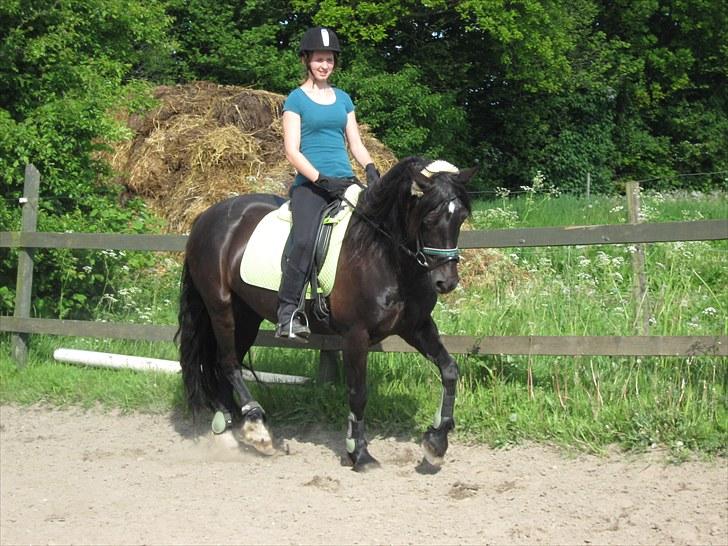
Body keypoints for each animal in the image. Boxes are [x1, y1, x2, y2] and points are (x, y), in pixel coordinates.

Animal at [175, 156, 472, 468]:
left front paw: (436, 442)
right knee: (228, 363)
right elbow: (358, 392)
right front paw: (359, 453)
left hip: (246, 315)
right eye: (428, 219)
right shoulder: (356, 335)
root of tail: (206, 218)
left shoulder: (416, 326)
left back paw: (234, 432)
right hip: (221, 308)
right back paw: (256, 427)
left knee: (222, 366)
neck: (384, 254)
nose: (446, 282)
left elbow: (450, 370)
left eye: (462, 217)